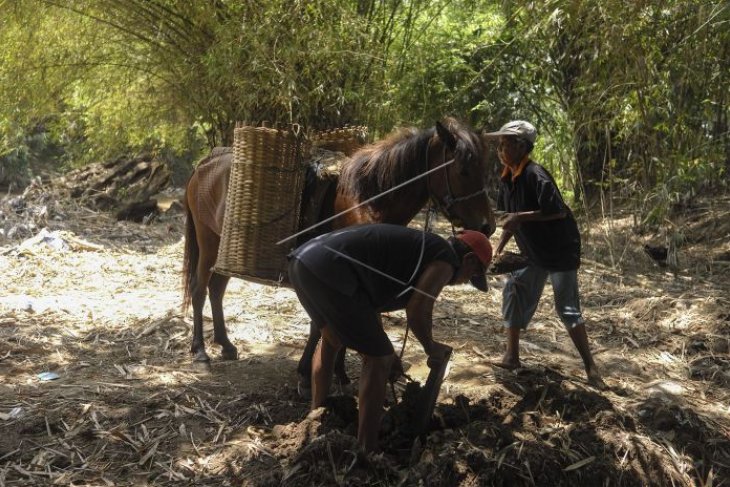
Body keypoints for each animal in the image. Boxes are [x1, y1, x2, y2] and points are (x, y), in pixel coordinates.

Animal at [181, 118, 494, 388]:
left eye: (483, 170)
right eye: (463, 170)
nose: (487, 225)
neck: (367, 199)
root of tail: (204, 164)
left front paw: (339, 373)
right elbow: (326, 323)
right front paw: (309, 372)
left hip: (222, 250)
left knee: (216, 289)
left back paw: (225, 344)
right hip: (208, 242)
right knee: (199, 289)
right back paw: (200, 351)